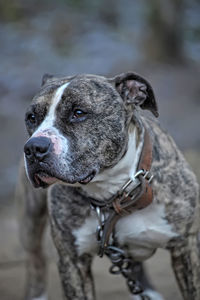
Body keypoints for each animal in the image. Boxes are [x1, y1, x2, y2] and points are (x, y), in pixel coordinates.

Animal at [16, 72, 200, 300]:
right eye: (32, 118)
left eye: (78, 113)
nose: (34, 147)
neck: (111, 192)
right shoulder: (72, 262)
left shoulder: (185, 246)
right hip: (30, 222)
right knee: (36, 261)